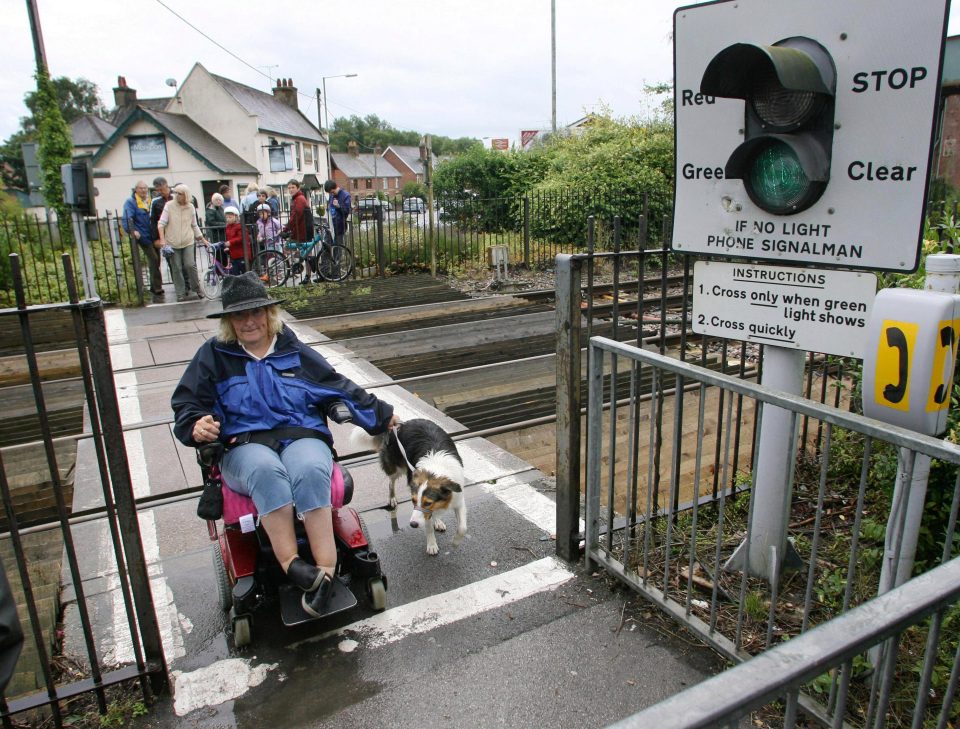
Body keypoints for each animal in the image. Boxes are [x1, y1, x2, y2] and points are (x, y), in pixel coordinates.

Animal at [356, 418, 468, 556]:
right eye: (413, 501)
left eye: (428, 503)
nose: (413, 524)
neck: (435, 472)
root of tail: (402, 423)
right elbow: (428, 526)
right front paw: (432, 544)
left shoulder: (458, 500)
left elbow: (462, 527)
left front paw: (455, 542)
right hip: (395, 467)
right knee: (391, 482)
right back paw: (392, 498)